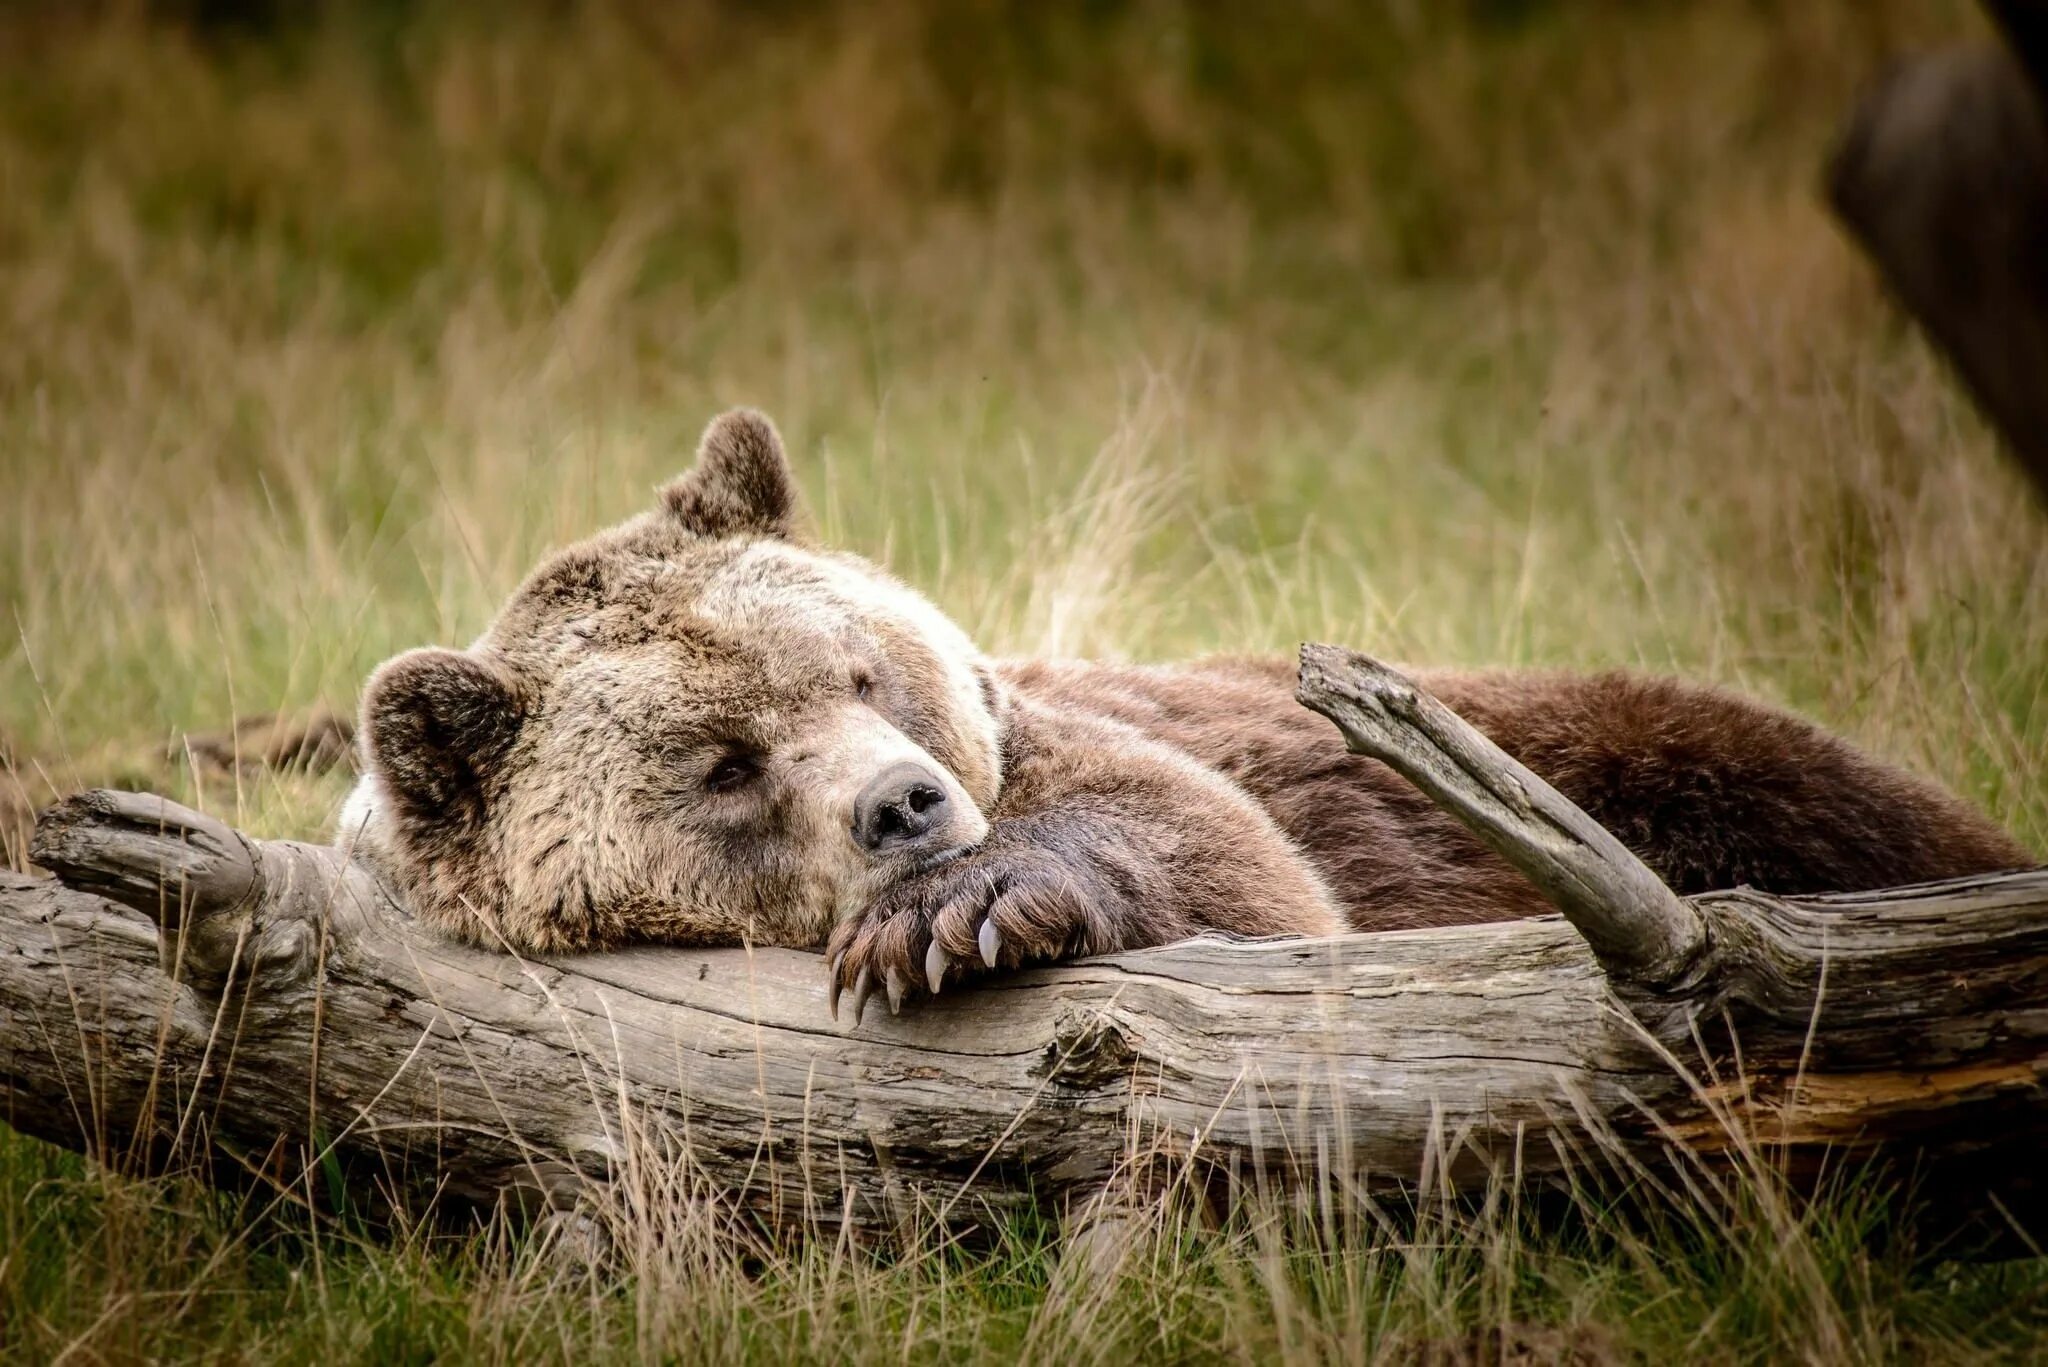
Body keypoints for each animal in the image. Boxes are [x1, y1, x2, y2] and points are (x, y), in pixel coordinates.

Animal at [339, 411, 2031, 1020]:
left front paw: (961, 912)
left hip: (1656, 749)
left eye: (861, 670)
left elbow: (1232, 860)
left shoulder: (1111, 743)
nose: (907, 805)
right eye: (720, 763)